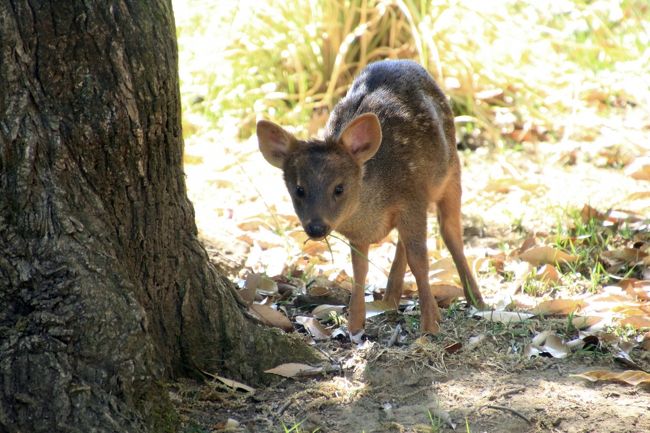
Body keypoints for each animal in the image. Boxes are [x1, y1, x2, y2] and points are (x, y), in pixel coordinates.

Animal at [256, 59, 484, 338]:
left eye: (339, 188)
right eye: (299, 189)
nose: (316, 227)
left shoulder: (412, 197)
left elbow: (420, 260)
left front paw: (430, 324)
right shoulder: (364, 231)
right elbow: (360, 268)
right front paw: (355, 324)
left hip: (452, 172)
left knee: (450, 233)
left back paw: (477, 300)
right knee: (404, 244)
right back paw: (390, 299)